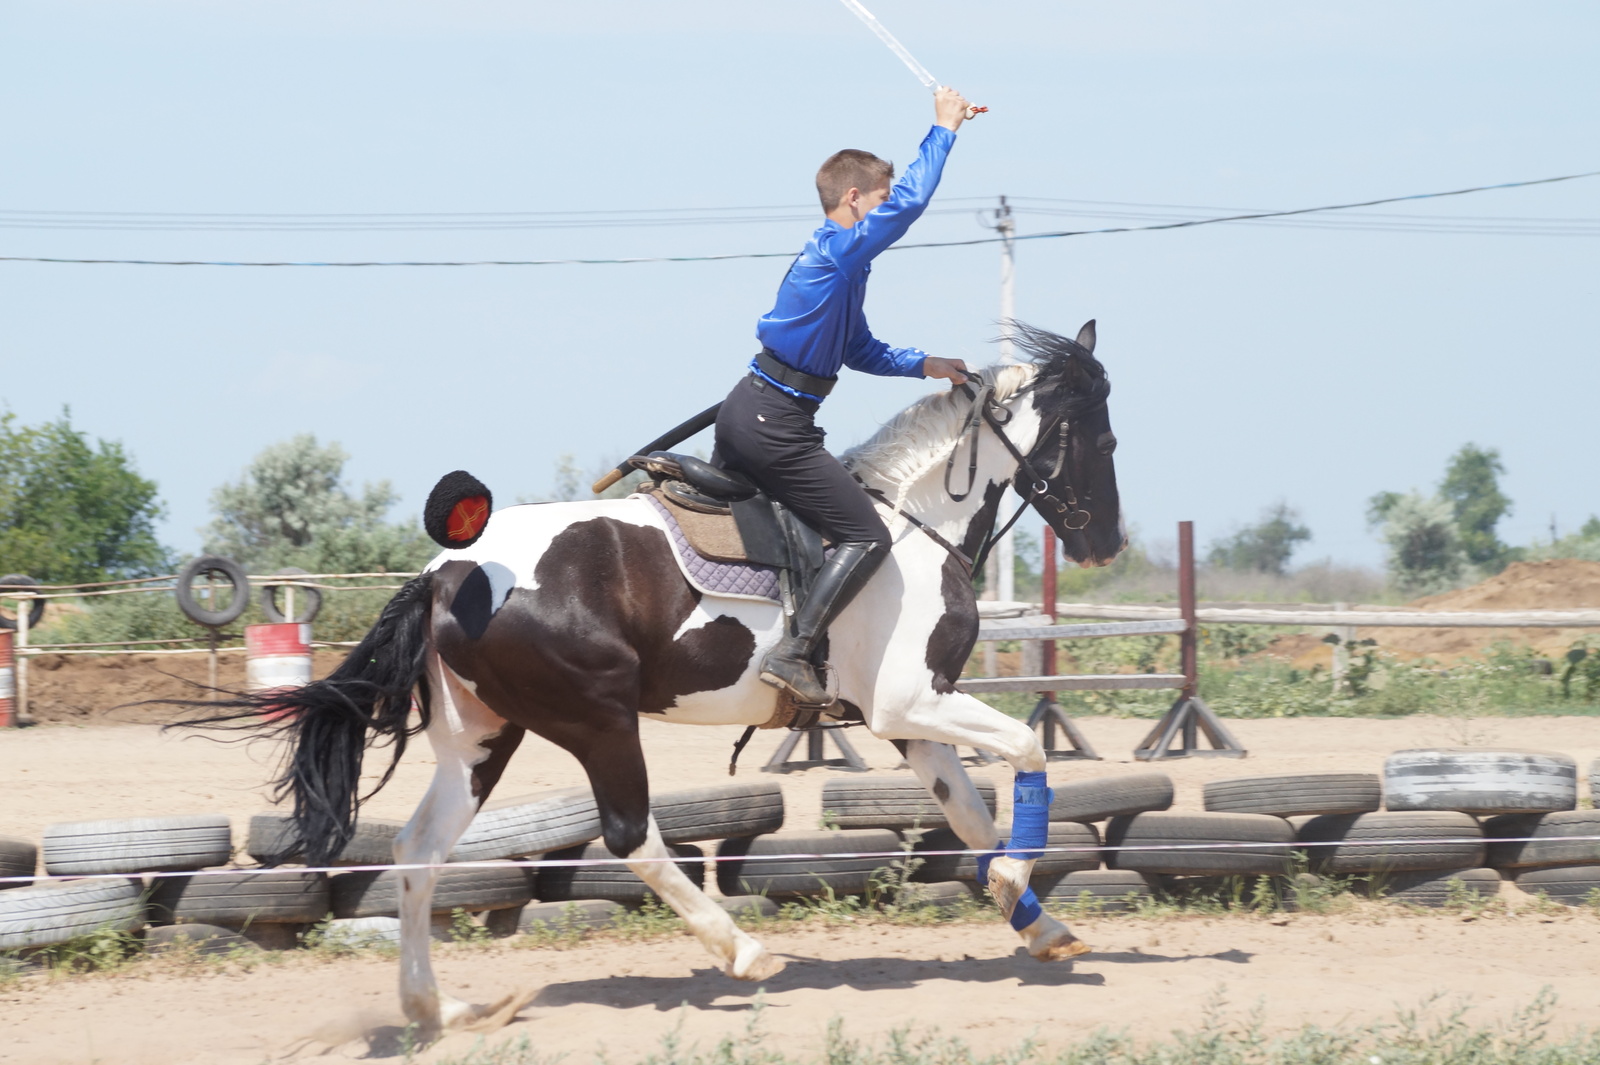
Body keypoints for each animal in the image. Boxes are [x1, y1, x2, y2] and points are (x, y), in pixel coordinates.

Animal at [233, 319, 1126, 1029]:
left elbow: (970, 813)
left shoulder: (910, 718)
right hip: (598, 720)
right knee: (632, 836)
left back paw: (436, 1007)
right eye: (1106, 441)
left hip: (482, 739)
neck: (911, 522)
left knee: (419, 850)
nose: (1107, 544)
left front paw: (1038, 924)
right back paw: (743, 949)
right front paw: (1014, 880)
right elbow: (1027, 753)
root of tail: (445, 573)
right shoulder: (912, 702)